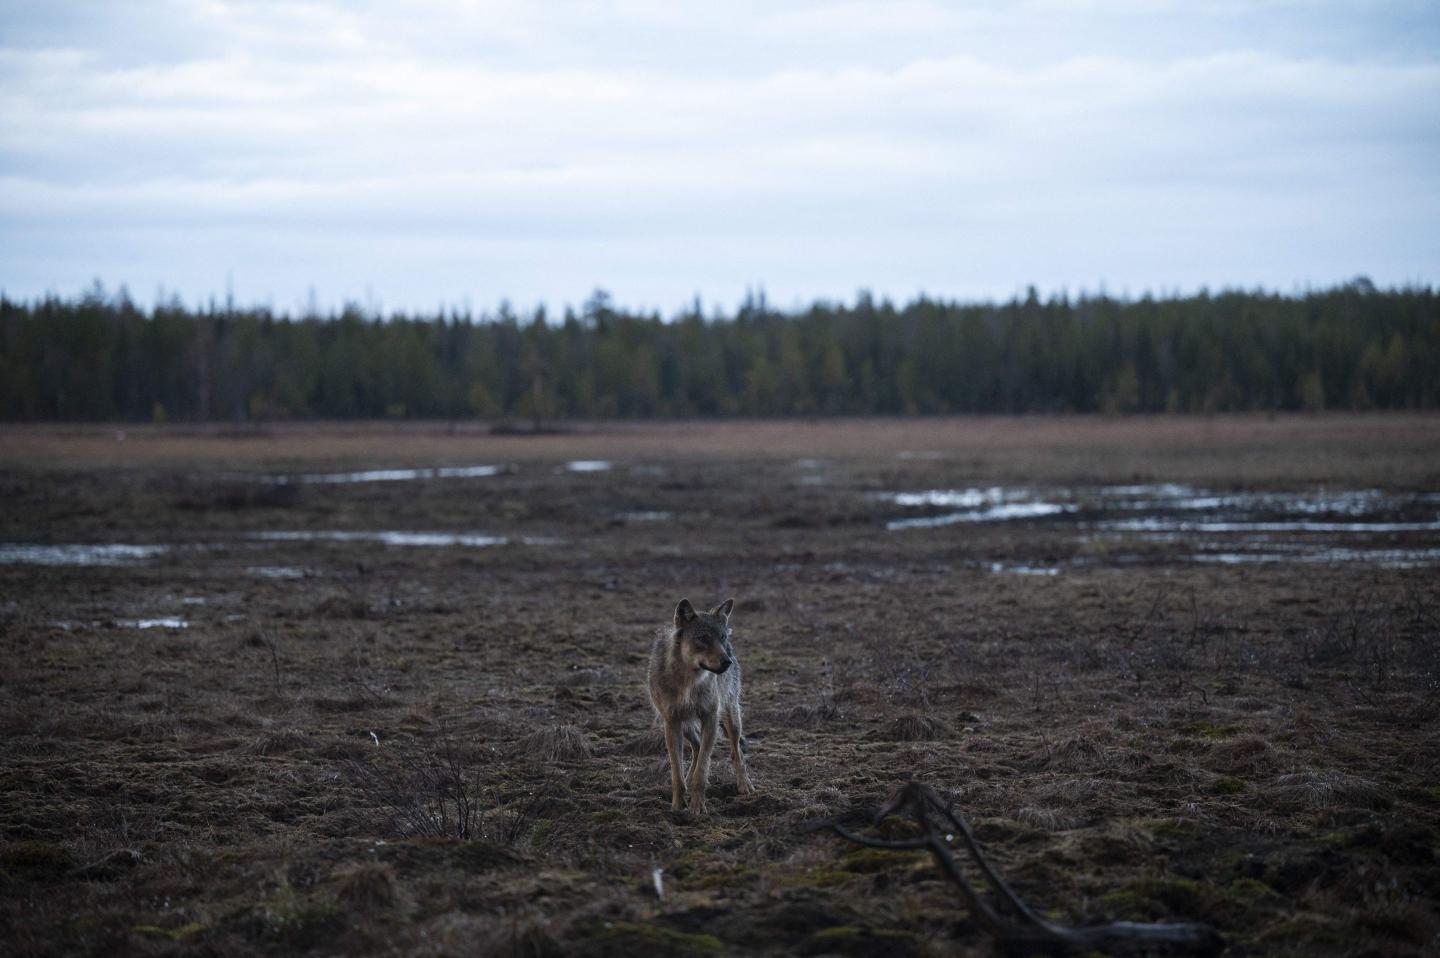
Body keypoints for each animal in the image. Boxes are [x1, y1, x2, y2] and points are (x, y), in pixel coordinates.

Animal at [648, 597, 753, 813]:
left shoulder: (710, 718)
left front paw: (697, 807)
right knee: (696, 745)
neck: (689, 681)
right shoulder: (671, 723)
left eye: (721, 637)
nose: (727, 662)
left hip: (731, 718)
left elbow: (703, 770)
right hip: (685, 725)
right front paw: (677, 807)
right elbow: (676, 773)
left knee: (736, 752)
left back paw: (744, 785)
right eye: (704, 638)